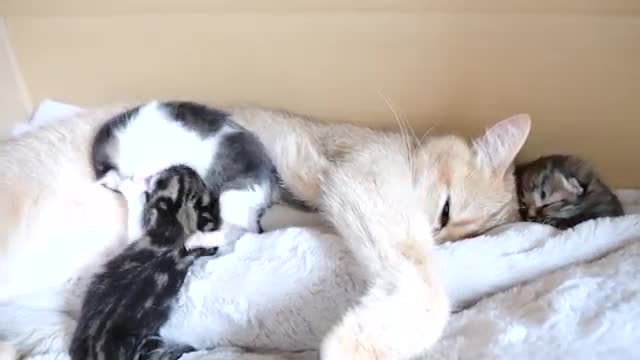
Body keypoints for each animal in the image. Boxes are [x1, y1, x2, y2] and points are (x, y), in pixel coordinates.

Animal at [69, 165, 220, 360]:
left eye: (168, 175)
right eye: (200, 181)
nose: (186, 166)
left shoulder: (141, 236)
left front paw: (129, 184)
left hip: (147, 341)